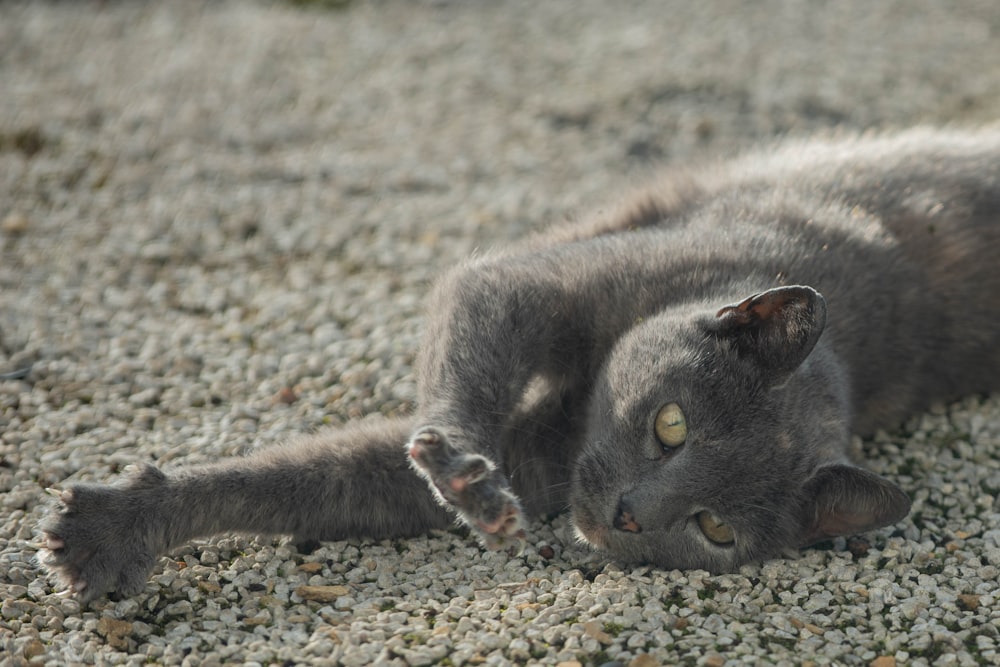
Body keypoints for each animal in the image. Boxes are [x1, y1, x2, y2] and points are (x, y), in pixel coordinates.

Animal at [37, 128, 1000, 604]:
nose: (630, 514)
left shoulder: (551, 461)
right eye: (672, 423)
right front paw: (467, 473)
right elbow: (483, 310)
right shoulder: (571, 279)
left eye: (714, 530)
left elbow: (333, 479)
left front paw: (112, 533)